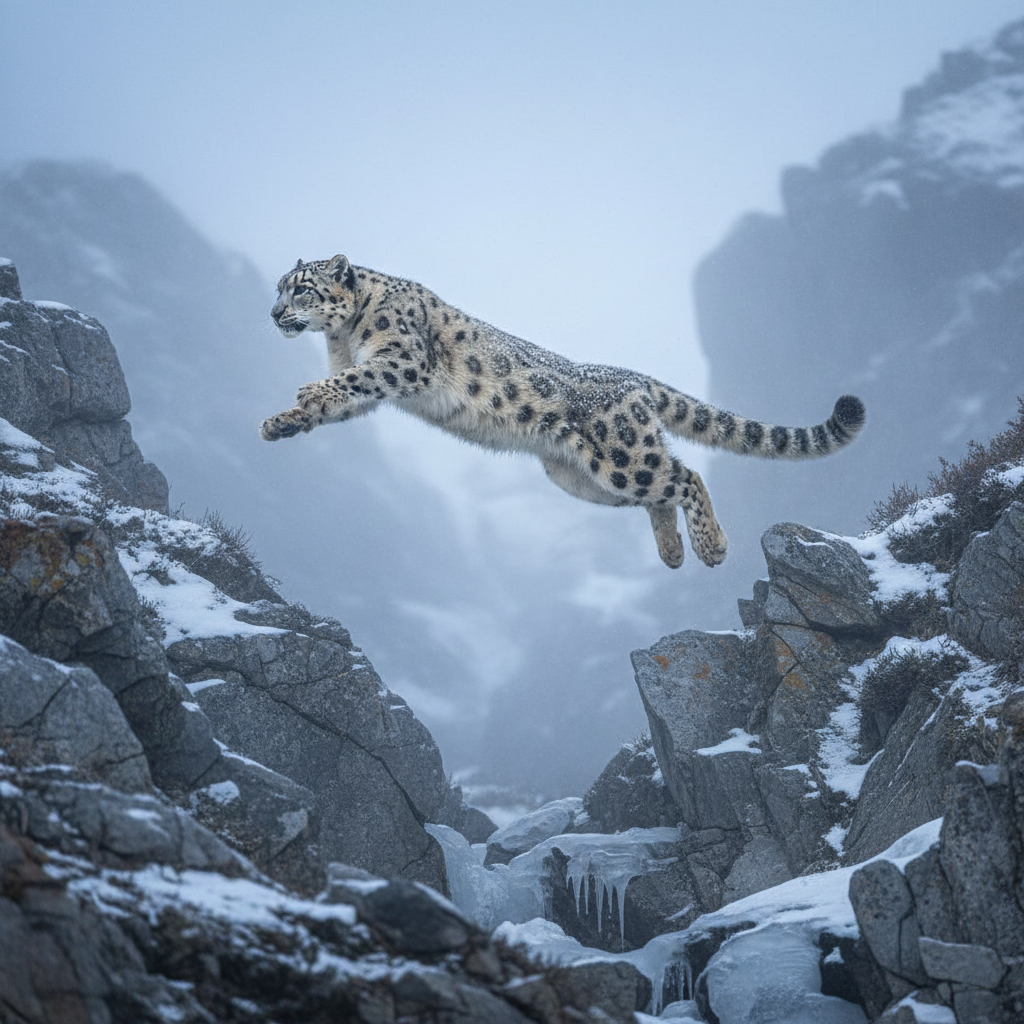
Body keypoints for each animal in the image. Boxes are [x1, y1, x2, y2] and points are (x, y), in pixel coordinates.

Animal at [260, 255, 865, 569]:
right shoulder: (371, 378)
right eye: (278, 288)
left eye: (302, 289)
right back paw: (672, 552)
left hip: (623, 457)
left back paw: (711, 546)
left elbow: (355, 378)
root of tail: (633, 377)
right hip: (583, 480)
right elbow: (345, 394)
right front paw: (281, 421)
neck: (344, 335)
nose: (272, 313)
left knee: (685, 475)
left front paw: (305, 393)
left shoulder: (404, 361)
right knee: (660, 493)